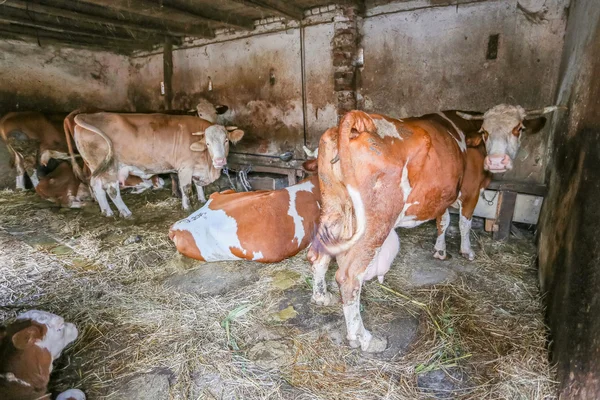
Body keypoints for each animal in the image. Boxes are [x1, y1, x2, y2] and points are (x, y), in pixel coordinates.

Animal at [72, 111, 244, 219]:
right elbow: (186, 188)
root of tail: (89, 115)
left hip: (96, 167)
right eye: (208, 143)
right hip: (110, 169)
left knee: (96, 186)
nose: (219, 161)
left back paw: (107, 212)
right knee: (112, 190)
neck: (207, 165)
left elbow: (198, 185)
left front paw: (202, 200)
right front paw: (187, 207)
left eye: (226, 140)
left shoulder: (196, 168)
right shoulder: (185, 167)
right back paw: (125, 212)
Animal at [310, 104, 564, 352]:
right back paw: (364, 338)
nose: (497, 161)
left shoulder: (442, 195)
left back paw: (321, 297)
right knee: (350, 276)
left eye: (517, 128)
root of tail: (361, 122)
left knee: (319, 254)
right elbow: (464, 222)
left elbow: (444, 221)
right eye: (485, 131)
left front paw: (440, 250)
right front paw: (467, 251)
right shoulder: (471, 191)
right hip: (376, 220)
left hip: (333, 207)